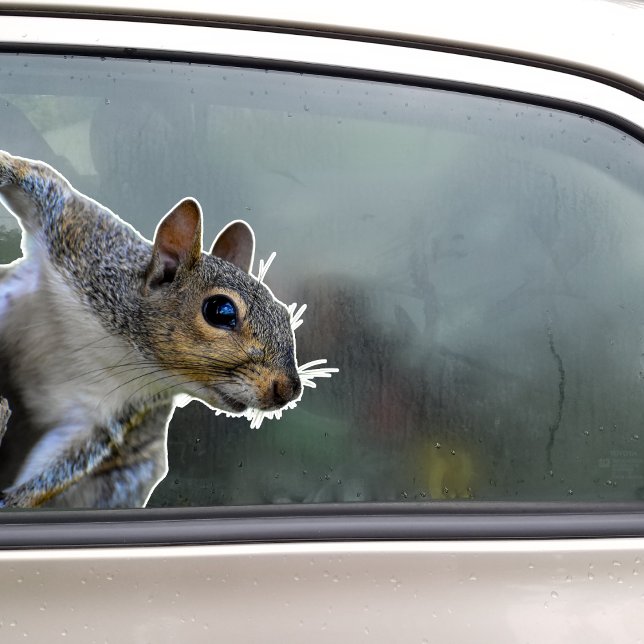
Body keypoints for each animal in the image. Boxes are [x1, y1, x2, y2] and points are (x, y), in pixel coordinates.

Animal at [0, 150, 306, 509]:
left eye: (284, 315)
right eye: (221, 310)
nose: (289, 389)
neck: (125, 348)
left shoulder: (103, 415)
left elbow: (66, 462)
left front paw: (13, 500)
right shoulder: (80, 235)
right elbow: (40, 181)